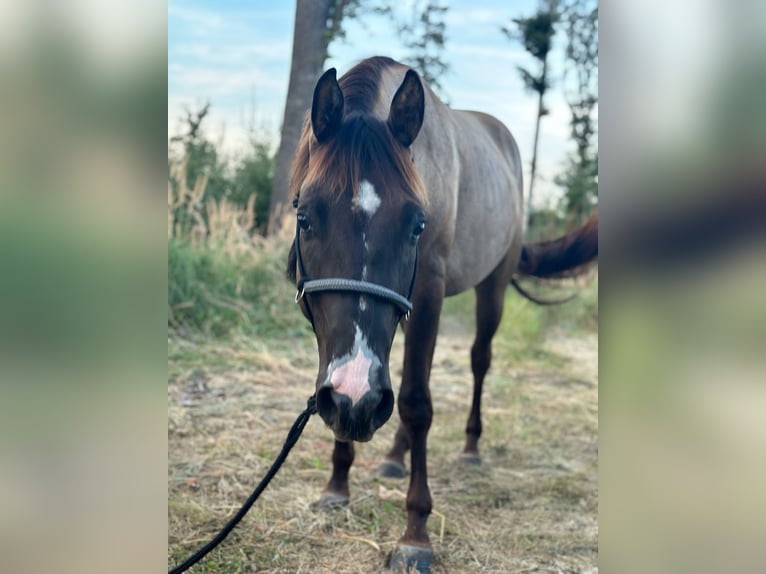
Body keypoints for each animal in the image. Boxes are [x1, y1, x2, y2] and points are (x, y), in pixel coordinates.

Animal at [286, 56, 597, 573]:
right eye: (305, 217)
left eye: (417, 224)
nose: (358, 400)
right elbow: (345, 384)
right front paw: (337, 485)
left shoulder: (429, 293)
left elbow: (417, 403)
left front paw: (415, 533)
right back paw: (394, 456)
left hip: (492, 287)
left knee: (477, 362)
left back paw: (470, 448)